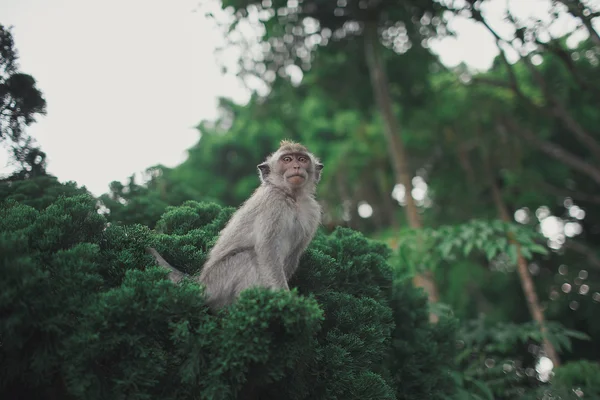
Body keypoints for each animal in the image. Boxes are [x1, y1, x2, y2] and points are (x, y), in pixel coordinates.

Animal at [197, 140, 324, 310]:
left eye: (302, 159)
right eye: (287, 159)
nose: (297, 166)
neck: (292, 197)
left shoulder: (312, 212)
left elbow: (294, 254)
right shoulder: (273, 204)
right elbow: (267, 247)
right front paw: (285, 297)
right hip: (216, 283)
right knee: (248, 257)